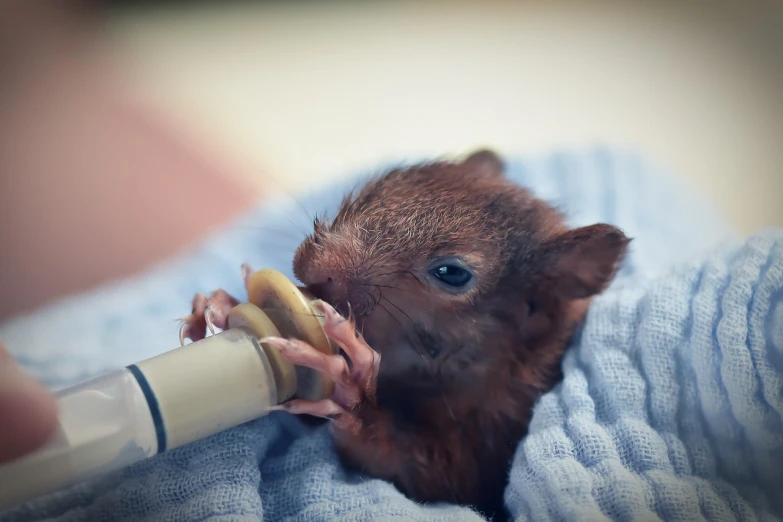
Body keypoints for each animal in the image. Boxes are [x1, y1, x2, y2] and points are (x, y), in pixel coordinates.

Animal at [182, 148, 632, 516]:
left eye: (452, 273)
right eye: (376, 187)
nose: (315, 266)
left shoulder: (497, 443)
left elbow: (427, 480)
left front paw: (350, 390)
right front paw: (222, 304)